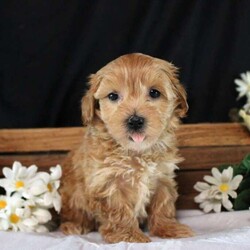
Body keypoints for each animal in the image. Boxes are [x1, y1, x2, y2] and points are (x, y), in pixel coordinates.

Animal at [59, 52, 194, 242]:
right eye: (113, 96)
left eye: (154, 93)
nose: (135, 121)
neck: (137, 152)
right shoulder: (108, 183)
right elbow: (119, 211)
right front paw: (128, 235)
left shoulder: (163, 177)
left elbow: (163, 204)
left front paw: (169, 228)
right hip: (72, 197)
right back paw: (73, 226)